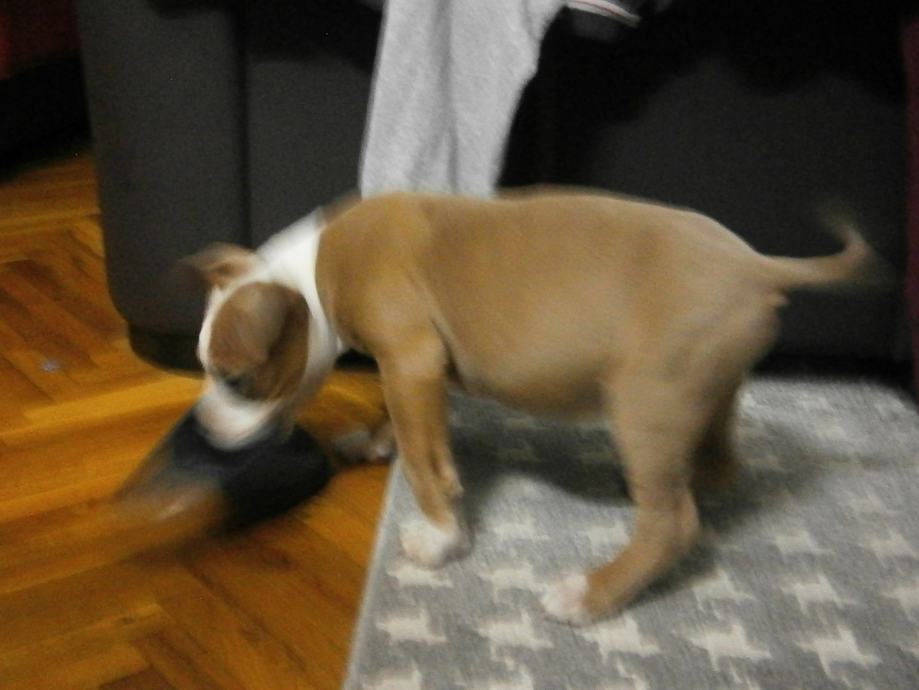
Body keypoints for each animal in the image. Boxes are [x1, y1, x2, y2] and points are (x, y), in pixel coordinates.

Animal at [188, 188, 881, 624]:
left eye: (235, 380)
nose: (202, 428)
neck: (311, 270)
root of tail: (759, 267)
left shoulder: (411, 360)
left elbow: (427, 465)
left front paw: (442, 540)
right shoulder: (409, 375)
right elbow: (406, 430)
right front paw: (374, 441)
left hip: (647, 395)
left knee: (673, 524)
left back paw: (591, 594)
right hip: (705, 389)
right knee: (714, 468)